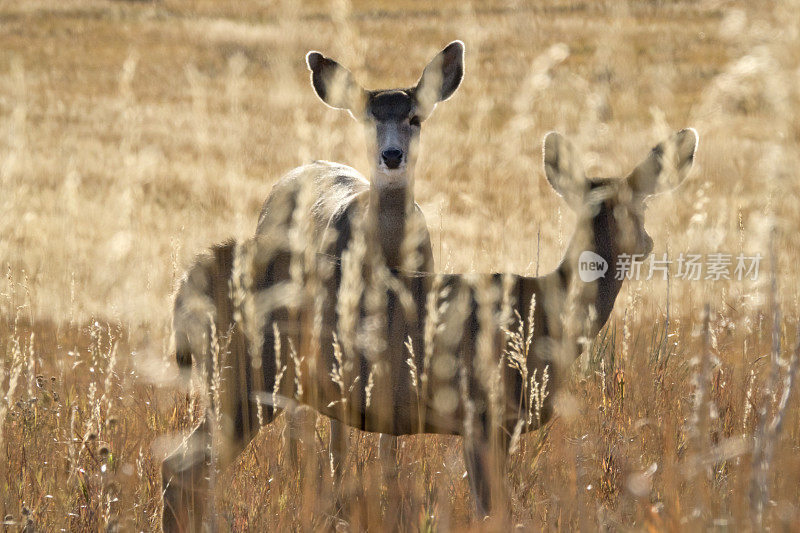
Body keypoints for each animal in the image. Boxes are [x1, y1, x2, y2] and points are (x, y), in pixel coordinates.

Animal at [161, 40, 462, 528]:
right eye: (368, 117)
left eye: (415, 117)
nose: (392, 156)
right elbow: (346, 436)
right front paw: (342, 496)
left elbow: (386, 441)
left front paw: (382, 491)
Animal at [161, 127, 692, 520]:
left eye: (638, 203)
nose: (645, 243)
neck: (545, 315)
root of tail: (194, 277)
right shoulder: (484, 415)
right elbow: (495, 513)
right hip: (244, 377)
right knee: (179, 469)